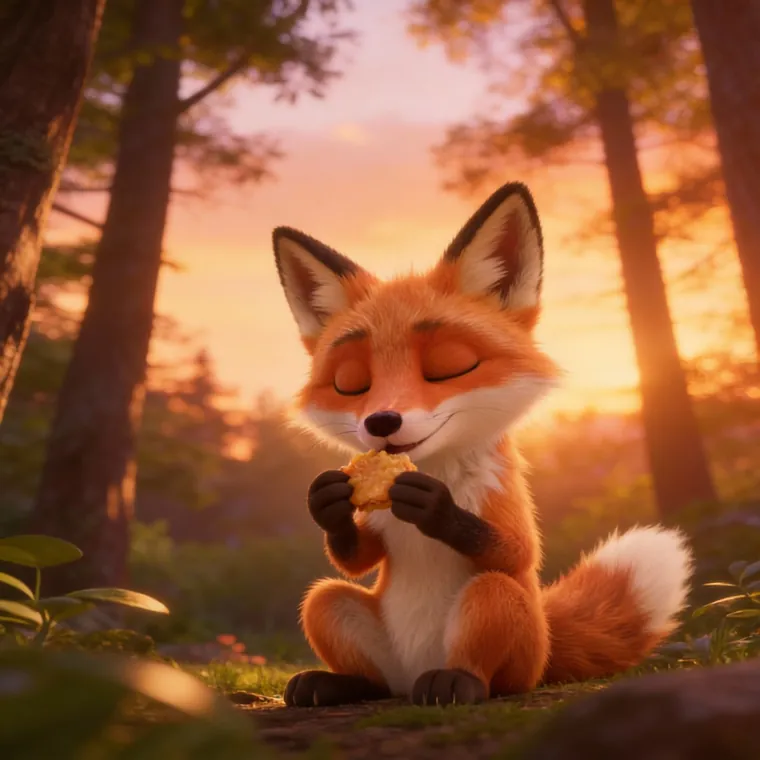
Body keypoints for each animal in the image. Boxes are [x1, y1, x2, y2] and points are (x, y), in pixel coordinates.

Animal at [271, 181, 694, 708]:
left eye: (449, 367)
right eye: (350, 383)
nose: (382, 420)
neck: (431, 467)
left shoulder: (504, 500)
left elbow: (516, 551)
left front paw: (436, 507)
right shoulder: (371, 531)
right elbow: (356, 558)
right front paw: (327, 503)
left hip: (499, 610)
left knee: (487, 656)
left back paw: (456, 682)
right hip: (326, 606)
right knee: (359, 651)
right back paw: (335, 684)